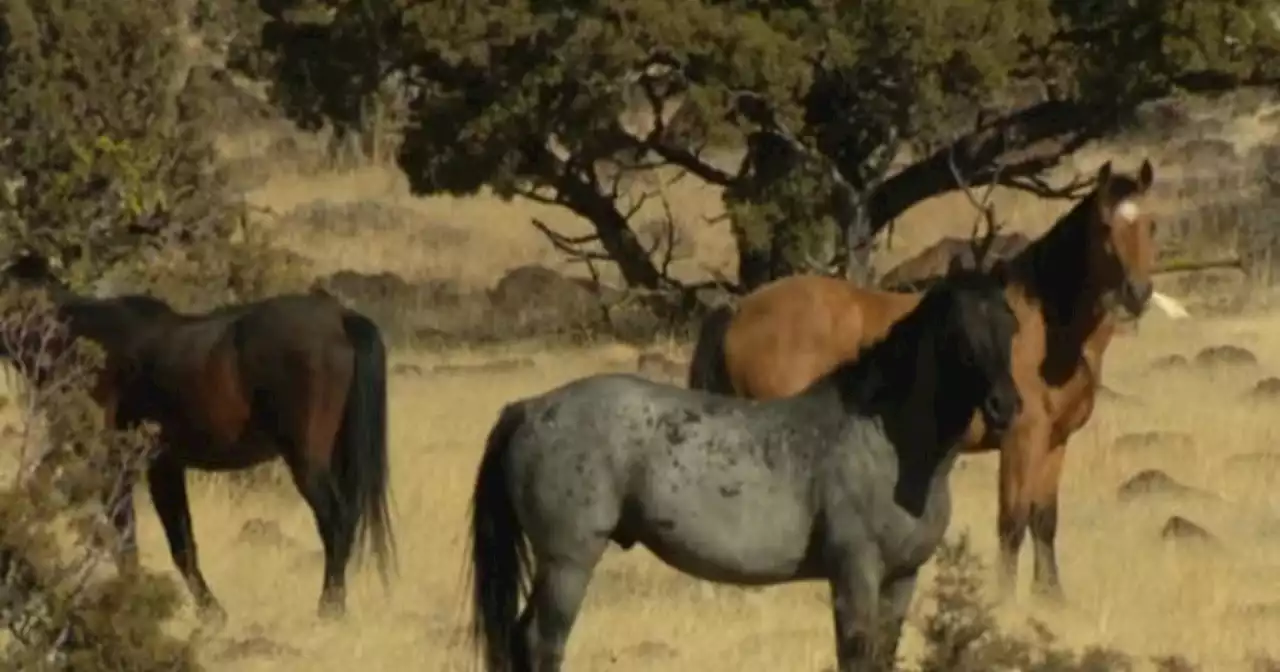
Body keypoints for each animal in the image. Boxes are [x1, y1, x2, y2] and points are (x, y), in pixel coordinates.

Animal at [0, 254, 394, 622]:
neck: (73, 338)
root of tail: (341, 318)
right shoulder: (164, 468)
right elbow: (181, 545)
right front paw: (210, 614)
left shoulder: (115, 465)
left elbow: (128, 538)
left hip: (307, 460)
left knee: (335, 521)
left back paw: (329, 608)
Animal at [468, 270, 1018, 665]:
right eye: (957, 333)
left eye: (1011, 326)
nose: (1006, 406)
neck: (884, 442)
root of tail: (531, 409)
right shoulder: (855, 572)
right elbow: (857, 656)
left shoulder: (902, 577)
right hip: (568, 563)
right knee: (541, 644)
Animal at [691, 160, 1172, 599]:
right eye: (1105, 227)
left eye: (1151, 224)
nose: (1138, 293)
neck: (1044, 329)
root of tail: (741, 309)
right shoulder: (1021, 439)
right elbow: (1012, 521)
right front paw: (1004, 599)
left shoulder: (1055, 441)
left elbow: (1044, 519)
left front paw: (1050, 595)